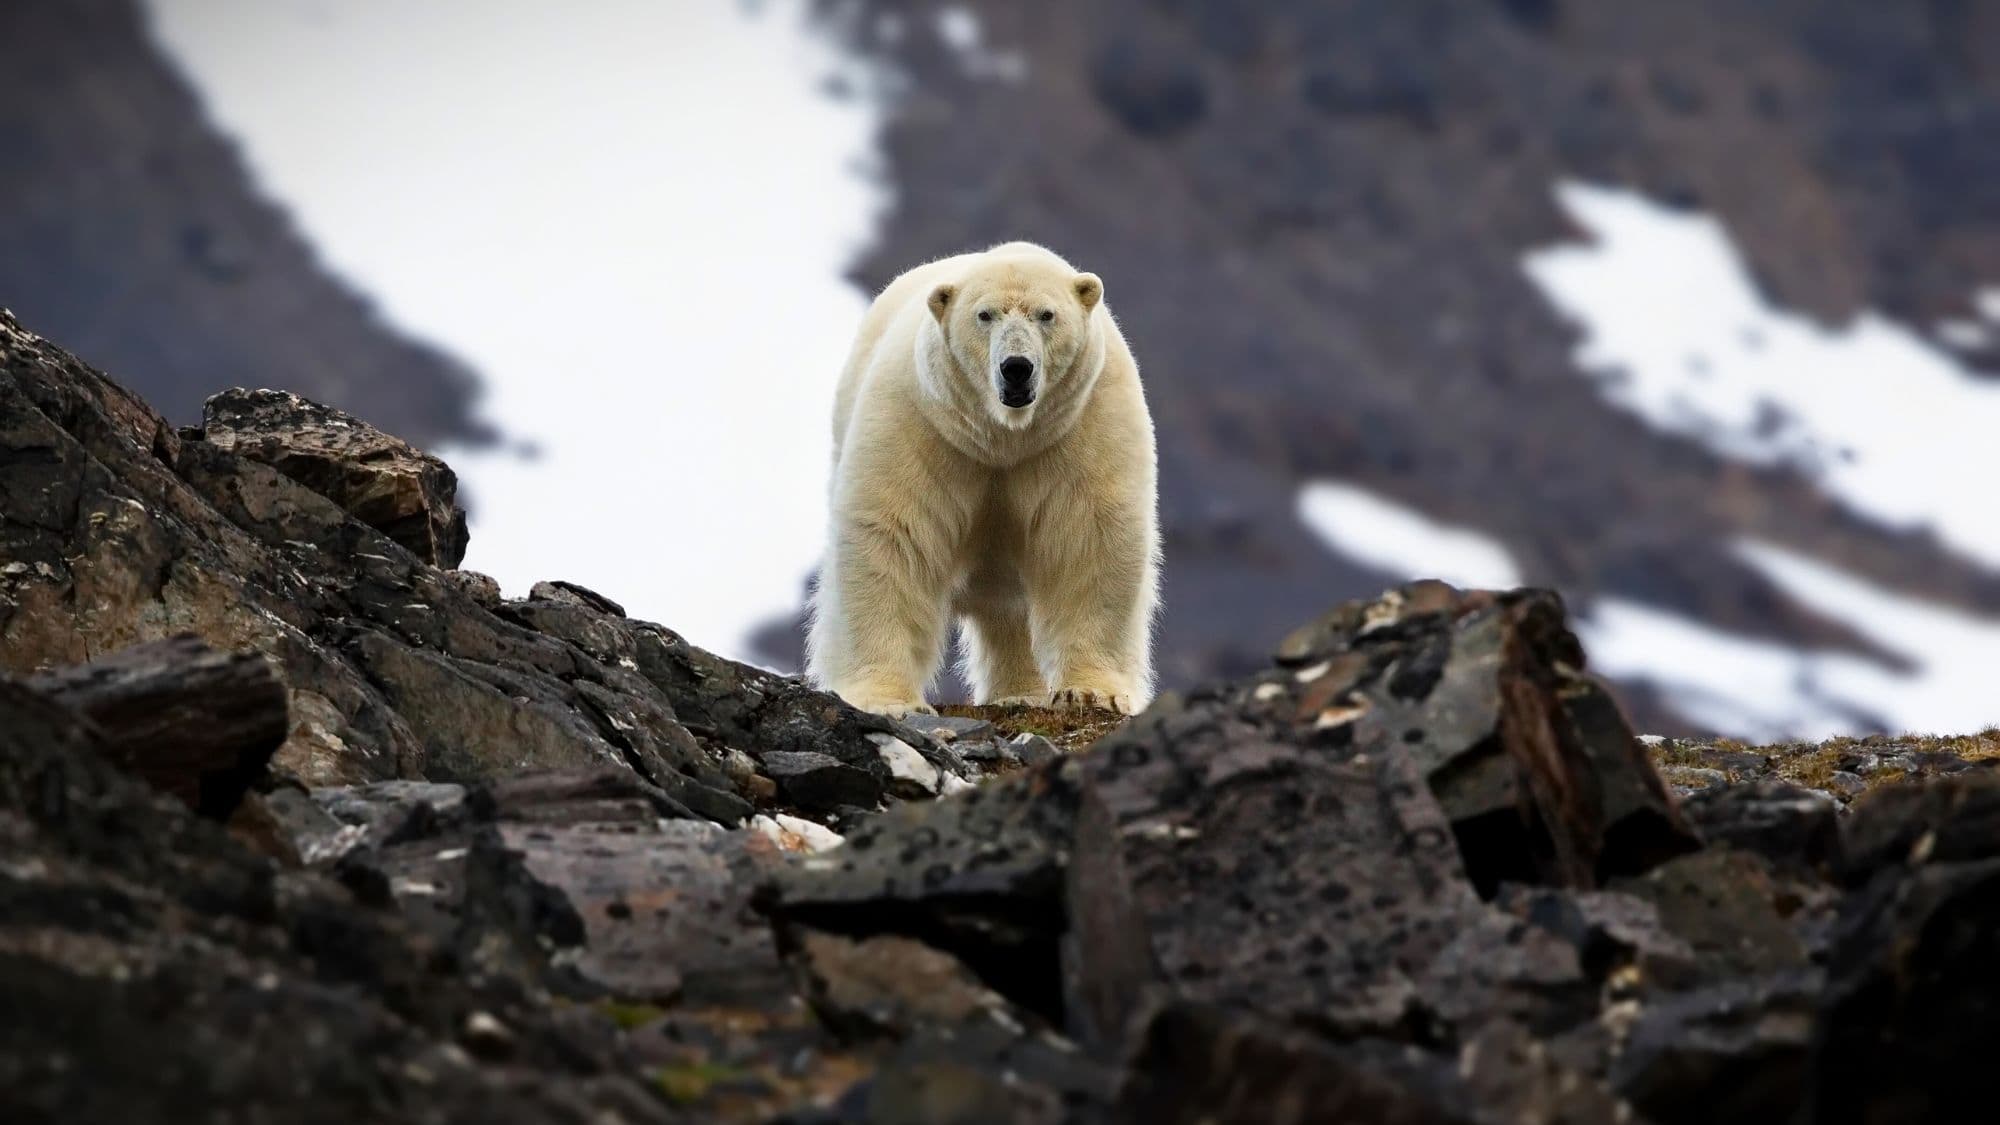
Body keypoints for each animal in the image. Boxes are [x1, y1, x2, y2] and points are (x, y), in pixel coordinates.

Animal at [804, 240, 1161, 718]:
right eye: (984, 314)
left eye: (1046, 314)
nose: (1016, 367)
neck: (1003, 437)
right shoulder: (923, 425)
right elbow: (893, 537)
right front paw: (888, 700)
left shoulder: (1084, 423)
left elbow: (1090, 537)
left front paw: (1091, 691)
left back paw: (1021, 692)